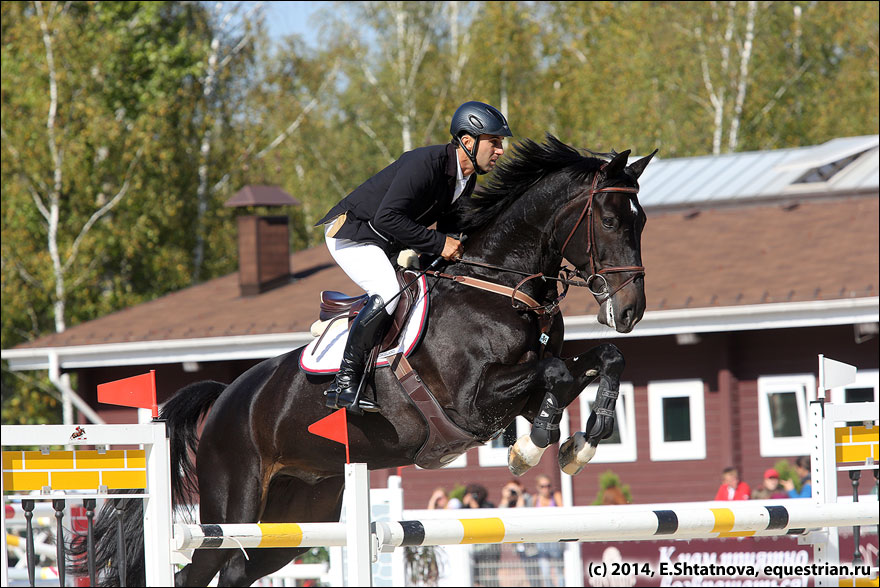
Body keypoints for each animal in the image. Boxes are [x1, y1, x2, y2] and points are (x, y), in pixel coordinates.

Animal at [81, 134, 652, 588]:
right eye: (607, 220)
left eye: (641, 221)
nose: (630, 311)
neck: (497, 286)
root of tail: (225, 396)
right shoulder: (471, 400)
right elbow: (553, 374)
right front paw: (533, 448)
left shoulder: (522, 388)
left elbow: (602, 359)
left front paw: (584, 440)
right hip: (231, 503)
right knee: (196, 569)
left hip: (299, 513)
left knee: (240, 571)